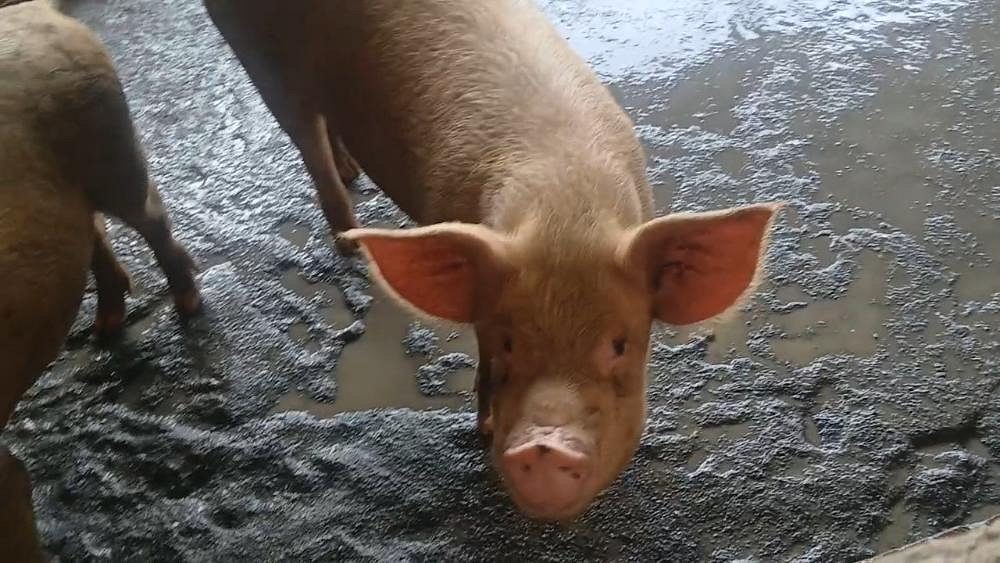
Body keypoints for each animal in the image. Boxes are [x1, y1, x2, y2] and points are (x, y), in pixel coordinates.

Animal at [0, 0, 201, 555]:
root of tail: (34, 9)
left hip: (111, 140)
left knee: (147, 211)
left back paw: (188, 306)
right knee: (91, 228)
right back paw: (104, 328)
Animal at [204, 0, 781, 521]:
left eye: (620, 344)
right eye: (507, 342)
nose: (544, 446)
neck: (563, 208)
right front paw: (479, 432)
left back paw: (352, 174)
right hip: (262, 63)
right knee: (308, 141)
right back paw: (347, 236)